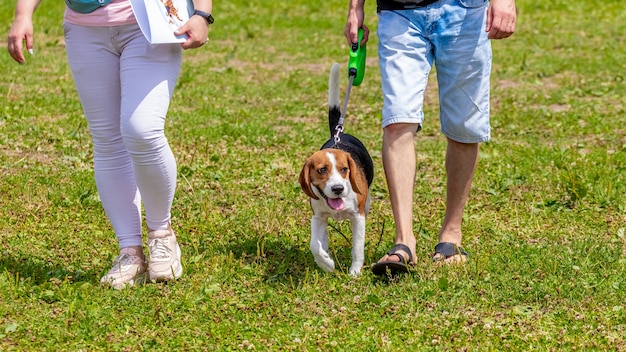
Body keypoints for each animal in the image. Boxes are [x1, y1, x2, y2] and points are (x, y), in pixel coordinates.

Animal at [296, 64, 370, 278]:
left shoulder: (358, 217)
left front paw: (355, 272)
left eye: (344, 169)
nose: (338, 189)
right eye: (321, 170)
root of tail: (339, 134)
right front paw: (326, 264)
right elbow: (314, 245)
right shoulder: (318, 217)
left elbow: (357, 248)